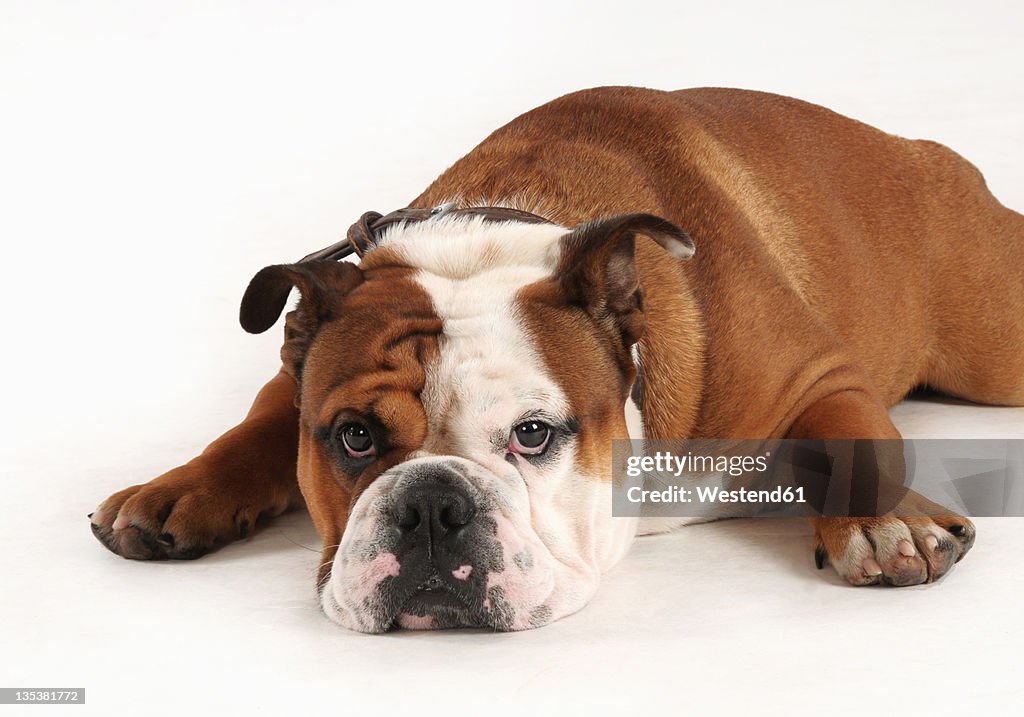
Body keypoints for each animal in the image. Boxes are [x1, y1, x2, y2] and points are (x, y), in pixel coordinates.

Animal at [92, 87, 1019, 630]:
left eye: (533, 435)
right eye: (353, 437)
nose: (431, 504)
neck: (481, 250)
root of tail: (921, 147)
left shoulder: (819, 374)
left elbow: (854, 433)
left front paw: (885, 519)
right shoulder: (297, 374)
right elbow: (253, 425)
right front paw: (176, 488)